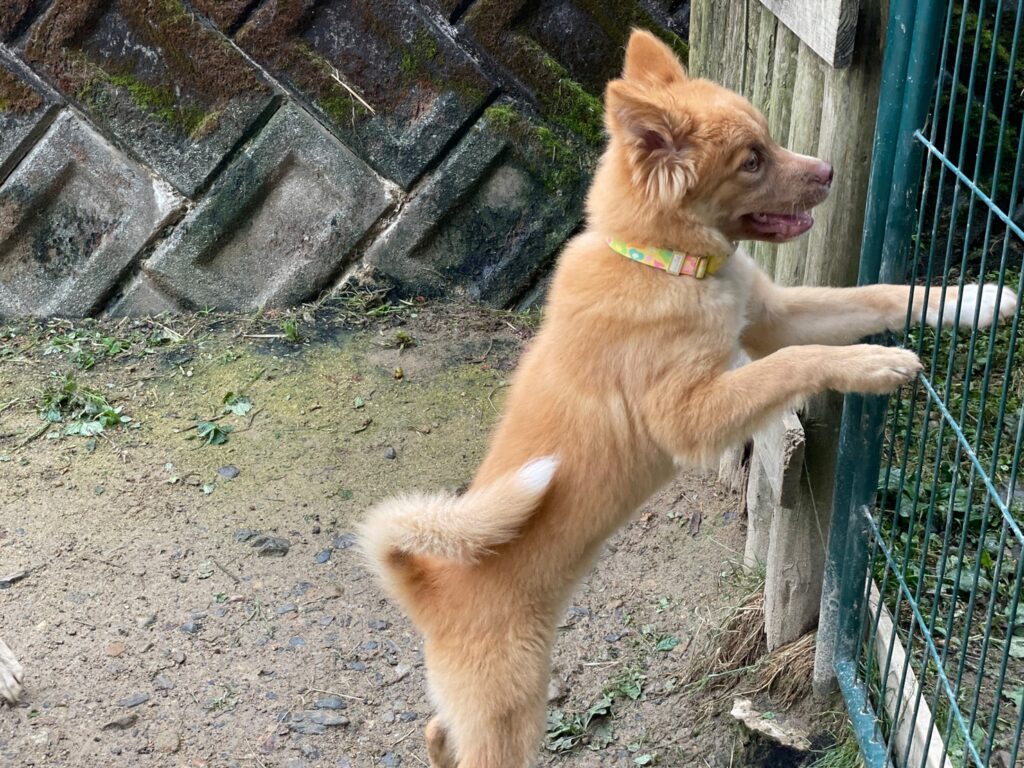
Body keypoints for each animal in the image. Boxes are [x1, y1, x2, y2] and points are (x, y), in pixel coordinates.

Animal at [361, 29, 1017, 768]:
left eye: (769, 140)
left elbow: (879, 295)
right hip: (507, 709)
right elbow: (796, 362)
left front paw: (977, 301)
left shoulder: (774, 315)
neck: (665, 264)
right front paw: (876, 364)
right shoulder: (692, 417)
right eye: (751, 161)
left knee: (435, 731)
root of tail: (424, 585)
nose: (826, 171)